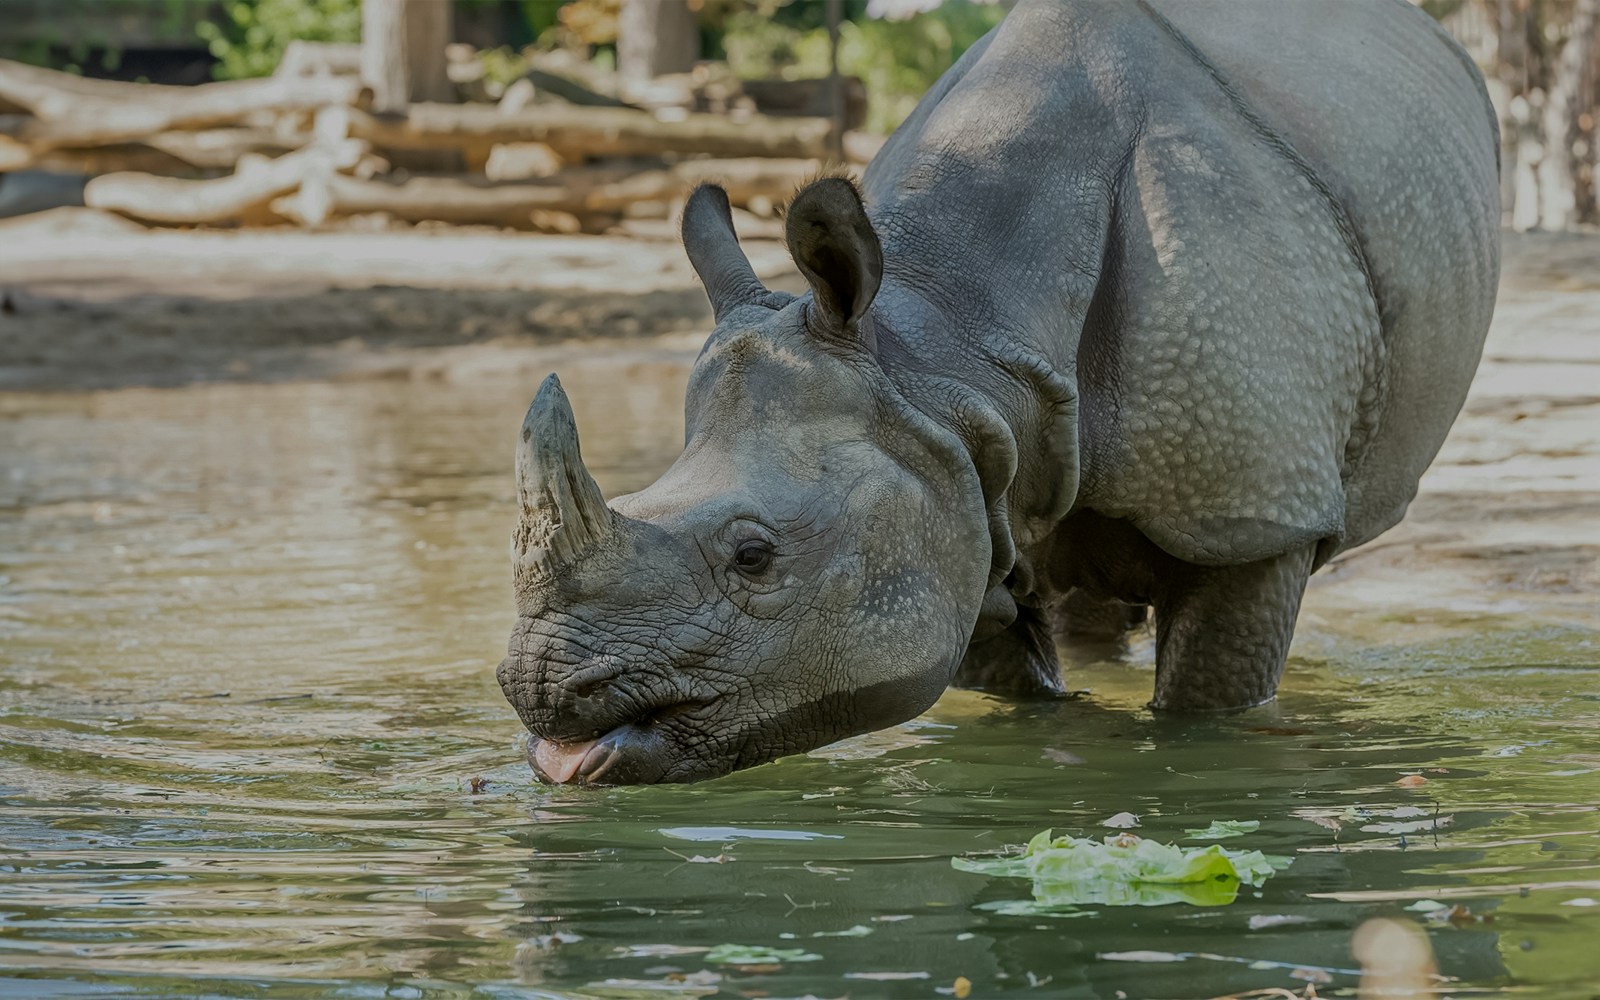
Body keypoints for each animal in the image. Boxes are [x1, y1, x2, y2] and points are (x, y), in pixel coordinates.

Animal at [497, 0, 1500, 784]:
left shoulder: (1252, 511)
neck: (945, 348)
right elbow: (1022, 686)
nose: (545, 691)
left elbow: (1209, 699)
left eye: (754, 556)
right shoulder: (956, 477)